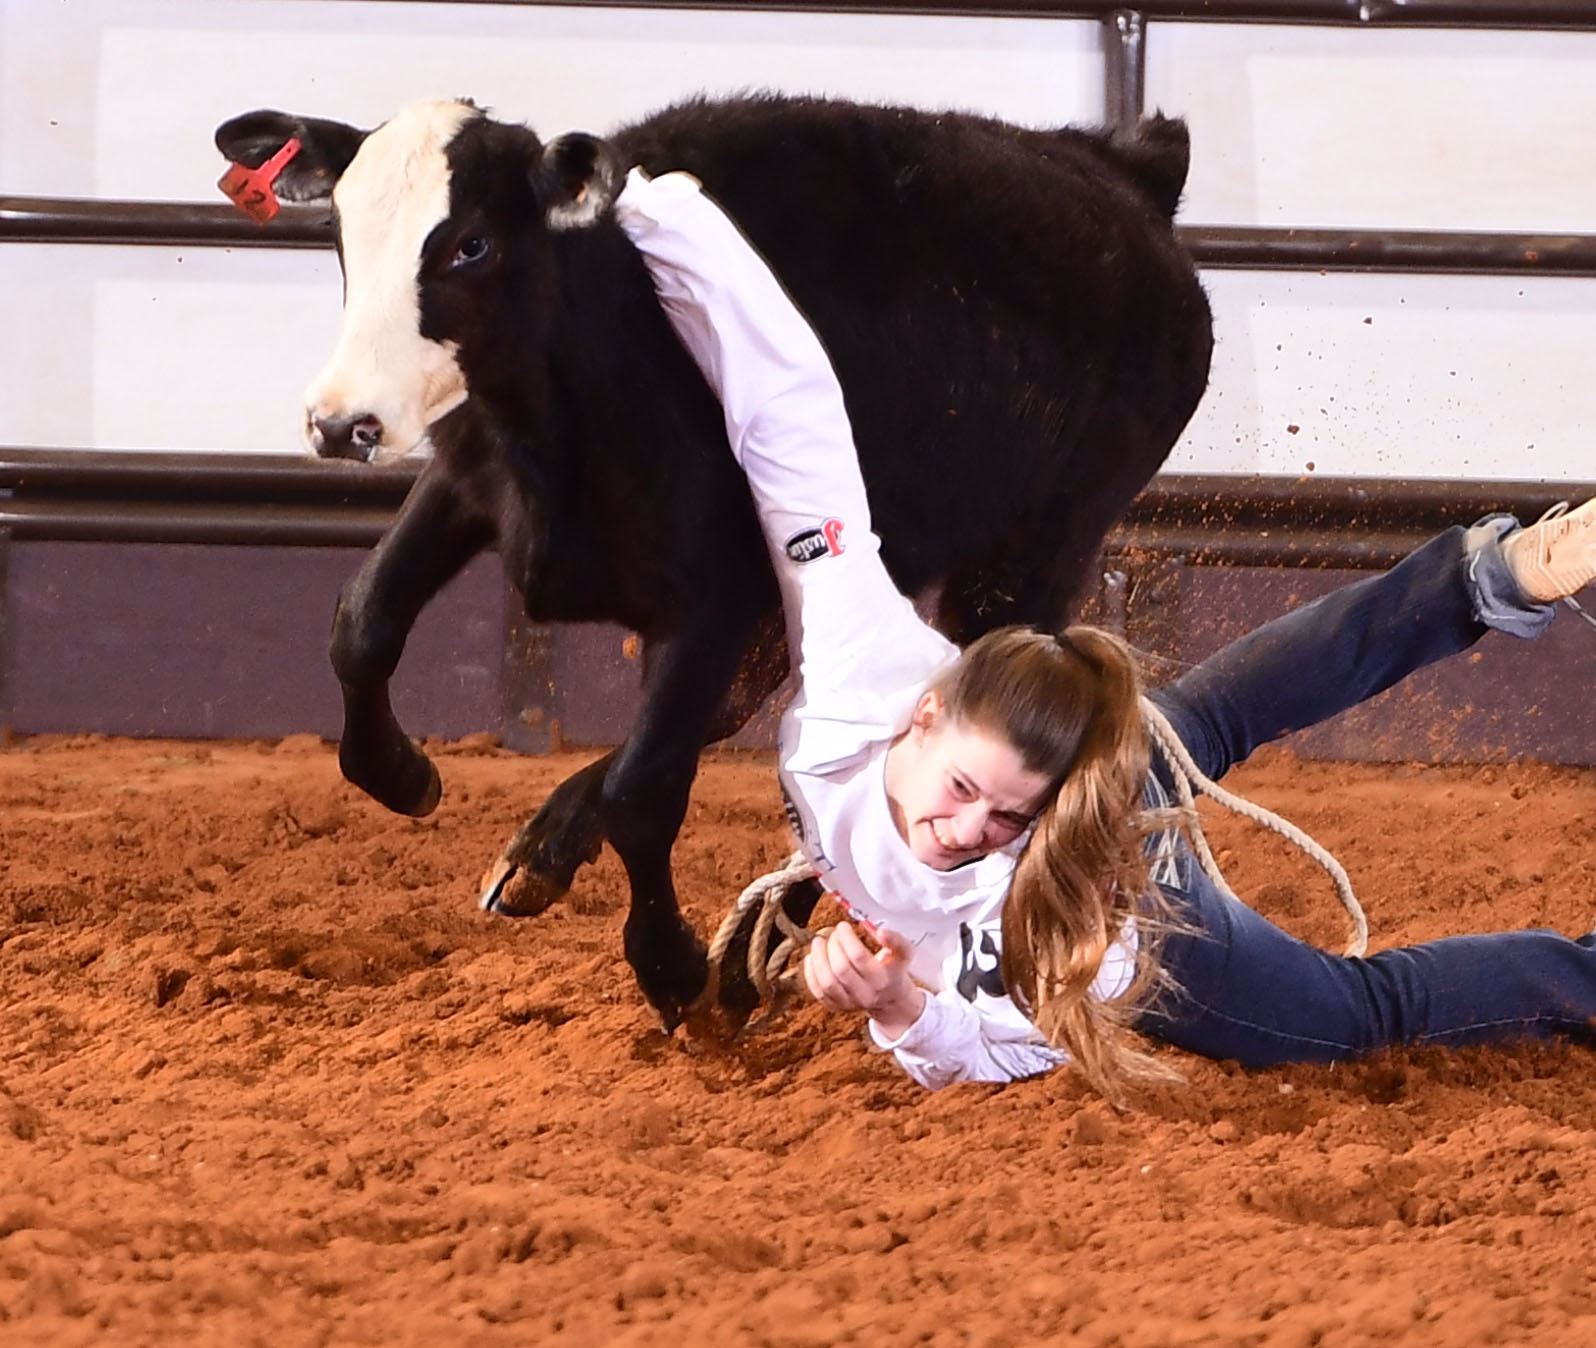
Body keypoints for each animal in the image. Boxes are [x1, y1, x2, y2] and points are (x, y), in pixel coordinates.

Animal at [213, 94, 1213, 1031]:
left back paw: (738, 951)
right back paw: (553, 860)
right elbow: (363, 621)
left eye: (471, 243)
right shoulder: (475, 480)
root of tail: (1123, 170)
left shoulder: (714, 605)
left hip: (1027, 564)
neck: (616, 343)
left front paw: (675, 971)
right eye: (345, 233)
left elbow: (646, 790)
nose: (343, 421)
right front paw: (403, 774)